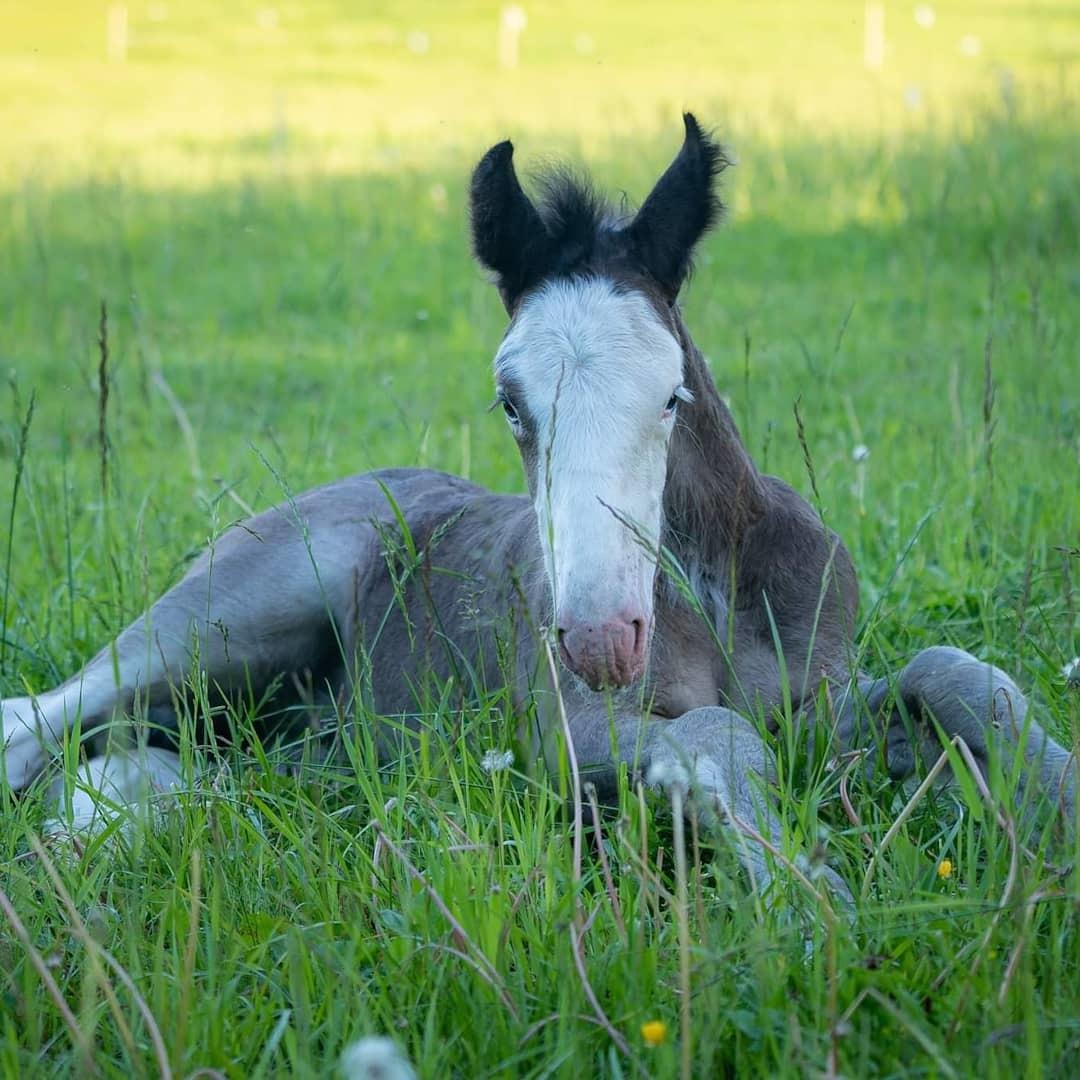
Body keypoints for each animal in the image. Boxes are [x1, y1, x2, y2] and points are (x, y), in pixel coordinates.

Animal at [2, 116, 1080, 894]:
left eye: (673, 394)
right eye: (511, 401)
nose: (602, 639)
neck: (716, 598)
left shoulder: (821, 705)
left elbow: (954, 674)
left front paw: (1055, 806)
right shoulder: (568, 737)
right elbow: (711, 738)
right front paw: (807, 899)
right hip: (229, 617)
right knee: (38, 720)